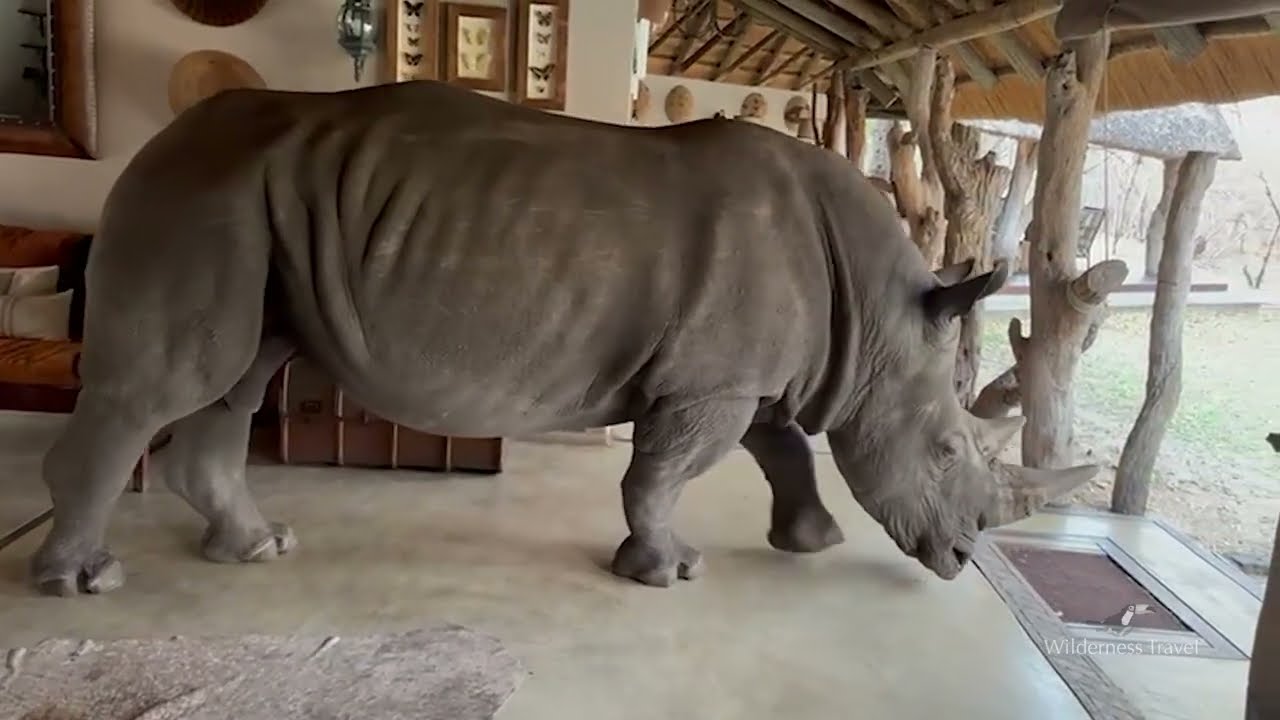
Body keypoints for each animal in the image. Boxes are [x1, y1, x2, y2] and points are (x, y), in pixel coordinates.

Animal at [28, 80, 1098, 597]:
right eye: (949, 448)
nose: (960, 557)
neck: (876, 320)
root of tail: (157, 143)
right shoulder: (708, 384)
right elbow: (663, 473)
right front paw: (666, 572)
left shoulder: (741, 374)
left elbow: (783, 448)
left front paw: (811, 540)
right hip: (202, 196)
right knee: (170, 385)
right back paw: (86, 582)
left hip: (254, 207)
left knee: (240, 377)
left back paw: (256, 550)